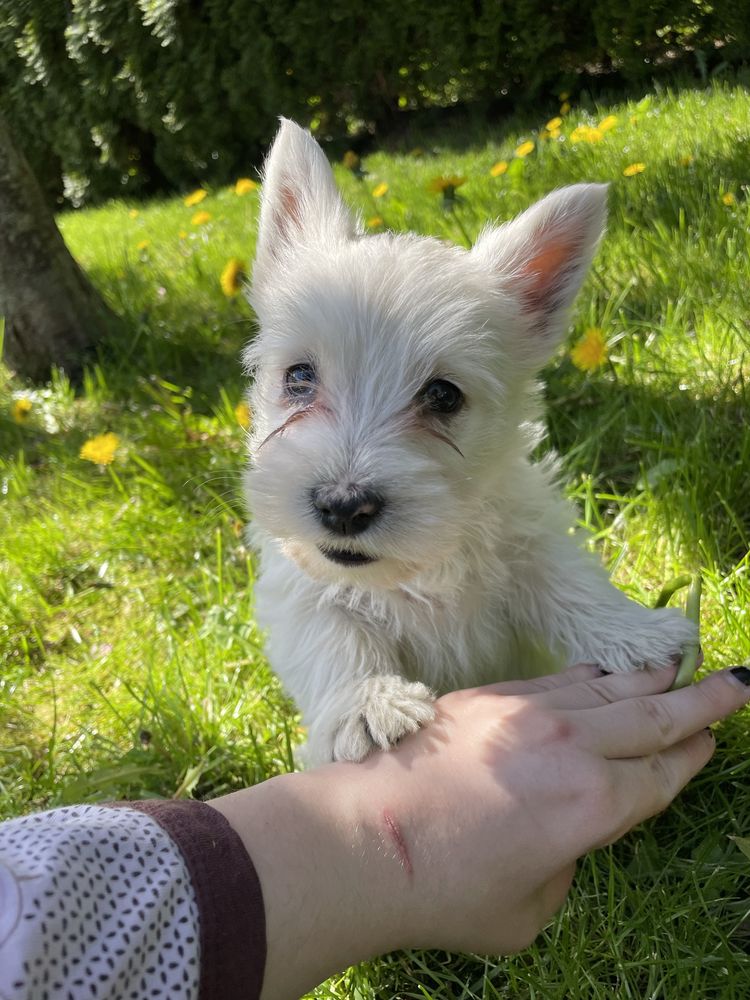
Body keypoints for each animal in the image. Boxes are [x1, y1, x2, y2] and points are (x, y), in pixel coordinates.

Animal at [244, 121, 696, 760]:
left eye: (443, 395)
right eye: (299, 376)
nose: (342, 506)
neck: (422, 565)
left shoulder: (528, 541)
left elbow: (568, 584)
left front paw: (637, 634)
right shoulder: (300, 590)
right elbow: (334, 636)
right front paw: (367, 703)